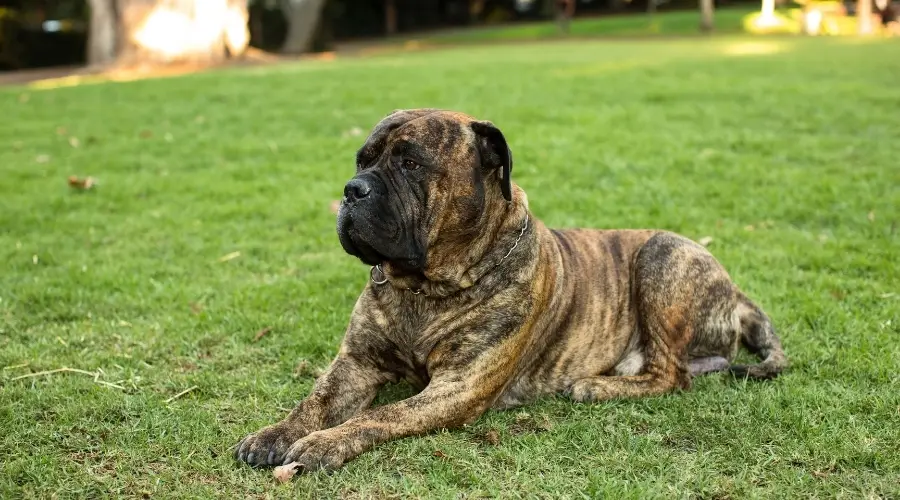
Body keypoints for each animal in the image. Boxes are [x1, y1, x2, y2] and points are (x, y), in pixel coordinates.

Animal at [234, 108, 788, 472]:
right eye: (361, 160)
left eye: (411, 163)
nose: (352, 190)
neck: (426, 286)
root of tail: (735, 290)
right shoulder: (356, 362)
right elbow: (314, 400)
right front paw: (274, 434)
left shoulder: (458, 386)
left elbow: (382, 414)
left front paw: (325, 443)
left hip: (662, 254)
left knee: (673, 375)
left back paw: (596, 385)